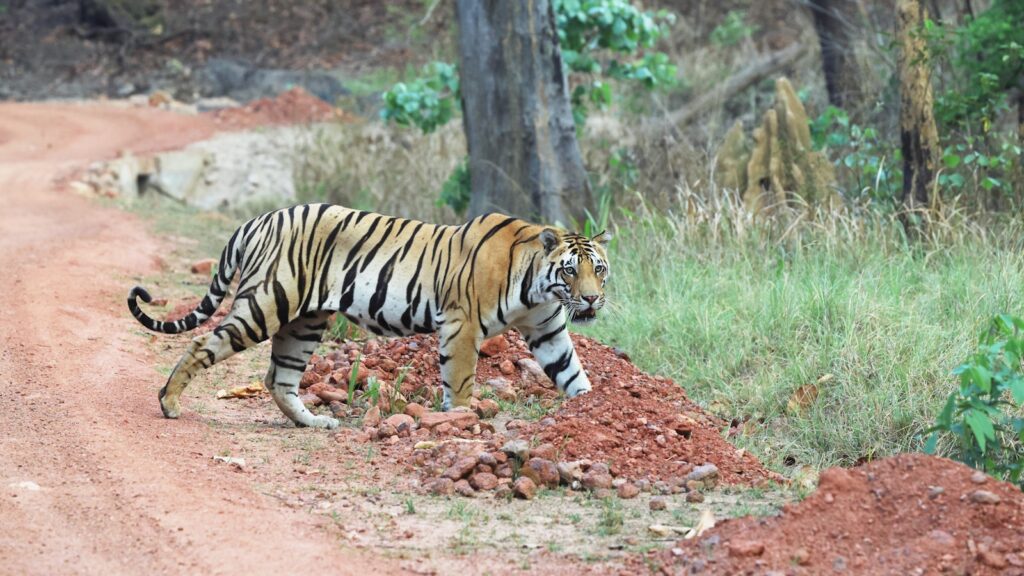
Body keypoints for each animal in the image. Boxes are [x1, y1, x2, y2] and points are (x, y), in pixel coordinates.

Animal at [127, 204, 611, 429]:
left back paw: (314, 422)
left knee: (279, 378)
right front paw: (461, 422)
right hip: (265, 305)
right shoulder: (461, 325)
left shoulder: (547, 330)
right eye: (571, 270)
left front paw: (590, 410)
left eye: (599, 269)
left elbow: (573, 373)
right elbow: (460, 384)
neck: (537, 286)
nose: (590, 301)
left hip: (304, 322)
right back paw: (169, 403)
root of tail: (258, 219)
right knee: (203, 343)